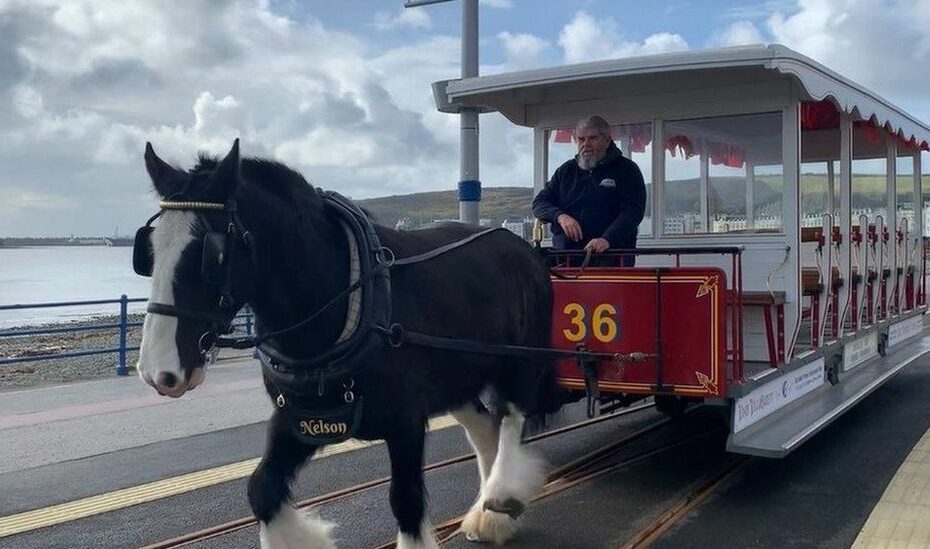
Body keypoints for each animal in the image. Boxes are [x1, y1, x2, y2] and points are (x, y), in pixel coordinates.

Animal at [134, 139, 560, 544]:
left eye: (212, 255)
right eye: (147, 252)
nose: (158, 372)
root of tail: (521, 245)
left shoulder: (405, 421)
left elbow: (406, 502)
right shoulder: (298, 419)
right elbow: (262, 490)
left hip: (520, 364)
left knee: (510, 421)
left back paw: (499, 503)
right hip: (459, 378)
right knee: (485, 431)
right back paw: (488, 512)